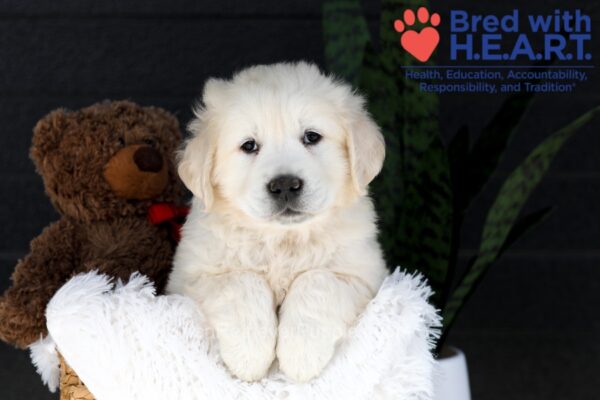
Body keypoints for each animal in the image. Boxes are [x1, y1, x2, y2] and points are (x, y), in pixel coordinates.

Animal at [166, 61, 386, 382]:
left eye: (311, 137)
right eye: (249, 146)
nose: (284, 185)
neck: (282, 240)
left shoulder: (365, 275)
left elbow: (318, 282)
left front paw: (300, 355)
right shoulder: (189, 278)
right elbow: (242, 283)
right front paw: (249, 358)